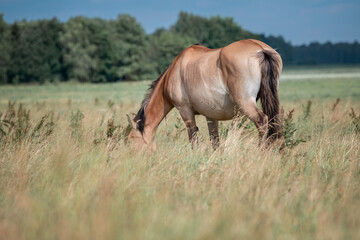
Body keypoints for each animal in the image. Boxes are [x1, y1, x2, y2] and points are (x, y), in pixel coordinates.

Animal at [128, 39, 282, 151]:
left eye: (130, 140)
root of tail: (260, 49)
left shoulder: (185, 112)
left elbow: (193, 138)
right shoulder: (211, 115)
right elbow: (214, 141)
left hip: (245, 103)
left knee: (262, 121)